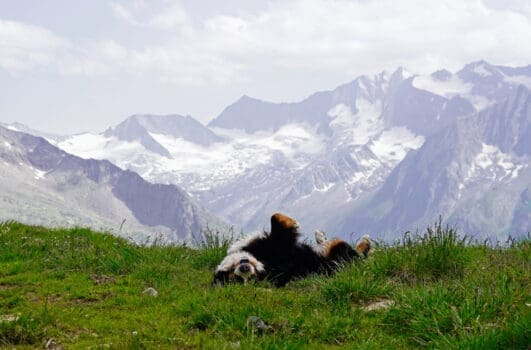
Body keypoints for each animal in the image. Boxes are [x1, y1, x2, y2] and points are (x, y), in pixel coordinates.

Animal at [214, 213, 372, 288]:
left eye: (231, 276)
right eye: (236, 279)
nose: (245, 269)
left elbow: (275, 217)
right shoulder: (279, 248)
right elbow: (280, 227)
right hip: (338, 258)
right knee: (354, 254)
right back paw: (365, 242)